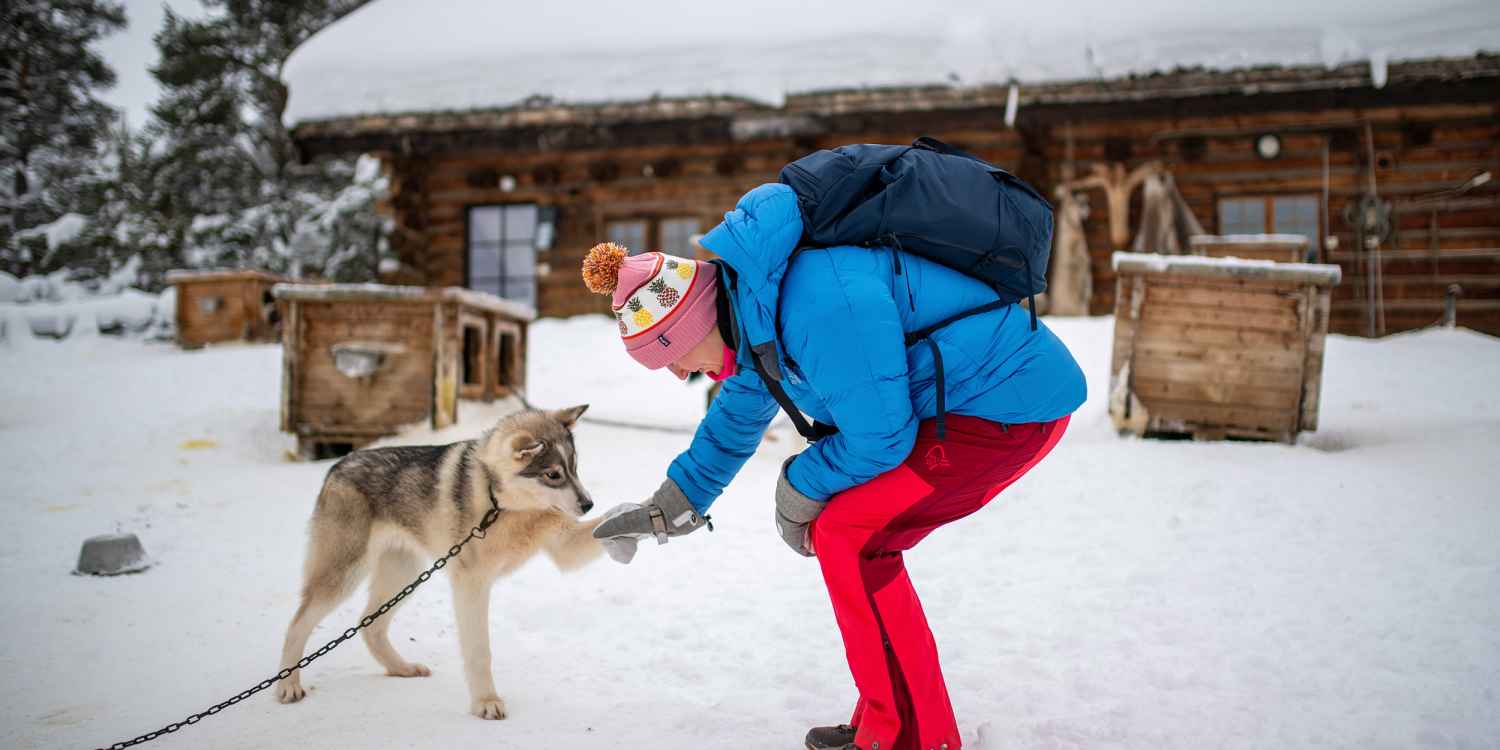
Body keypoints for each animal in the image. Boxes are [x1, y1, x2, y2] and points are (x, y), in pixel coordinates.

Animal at [273, 408, 600, 717]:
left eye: (574, 469)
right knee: (297, 624)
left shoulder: (564, 545)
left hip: (404, 576)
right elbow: (480, 651)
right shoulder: (471, 585)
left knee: (369, 624)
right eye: (553, 475)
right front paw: (486, 702)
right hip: (344, 575)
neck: (500, 504)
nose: (588, 504)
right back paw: (288, 685)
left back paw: (401, 668)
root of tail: (337, 466)